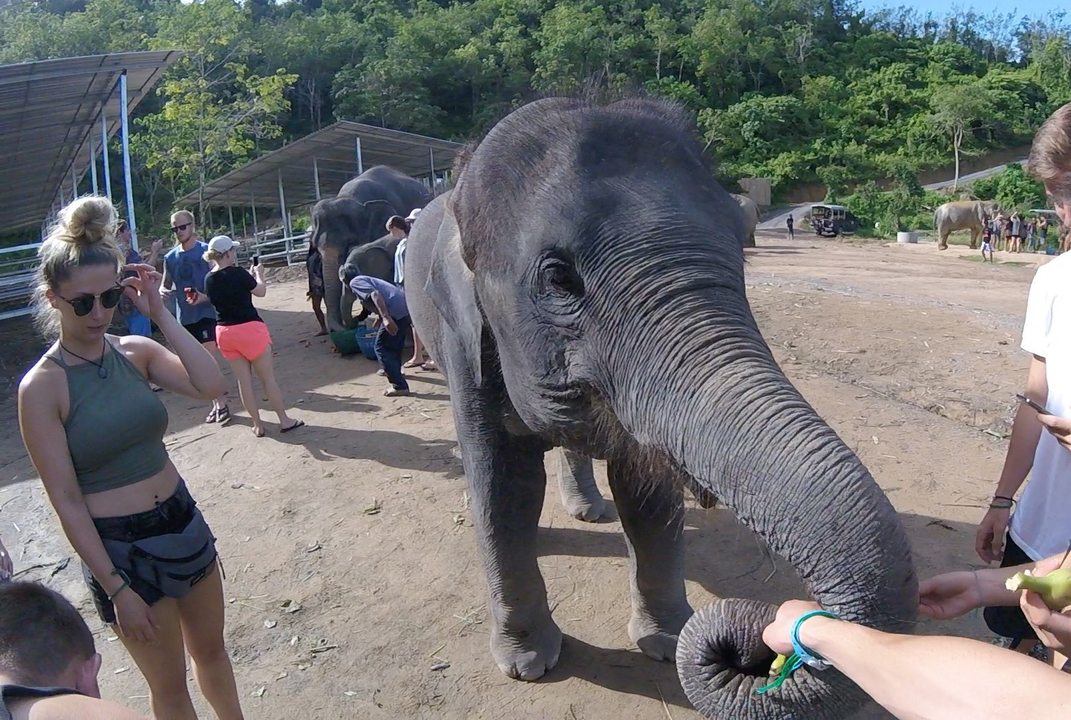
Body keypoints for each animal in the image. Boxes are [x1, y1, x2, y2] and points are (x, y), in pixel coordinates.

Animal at [405, 97, 917, 719]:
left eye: (739, 252)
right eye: (557, 277)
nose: (759, 642)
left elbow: (647, 492)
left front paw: (666, 642)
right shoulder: (462, 342)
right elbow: (505, 485)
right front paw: (529, 664)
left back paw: (588, 510)